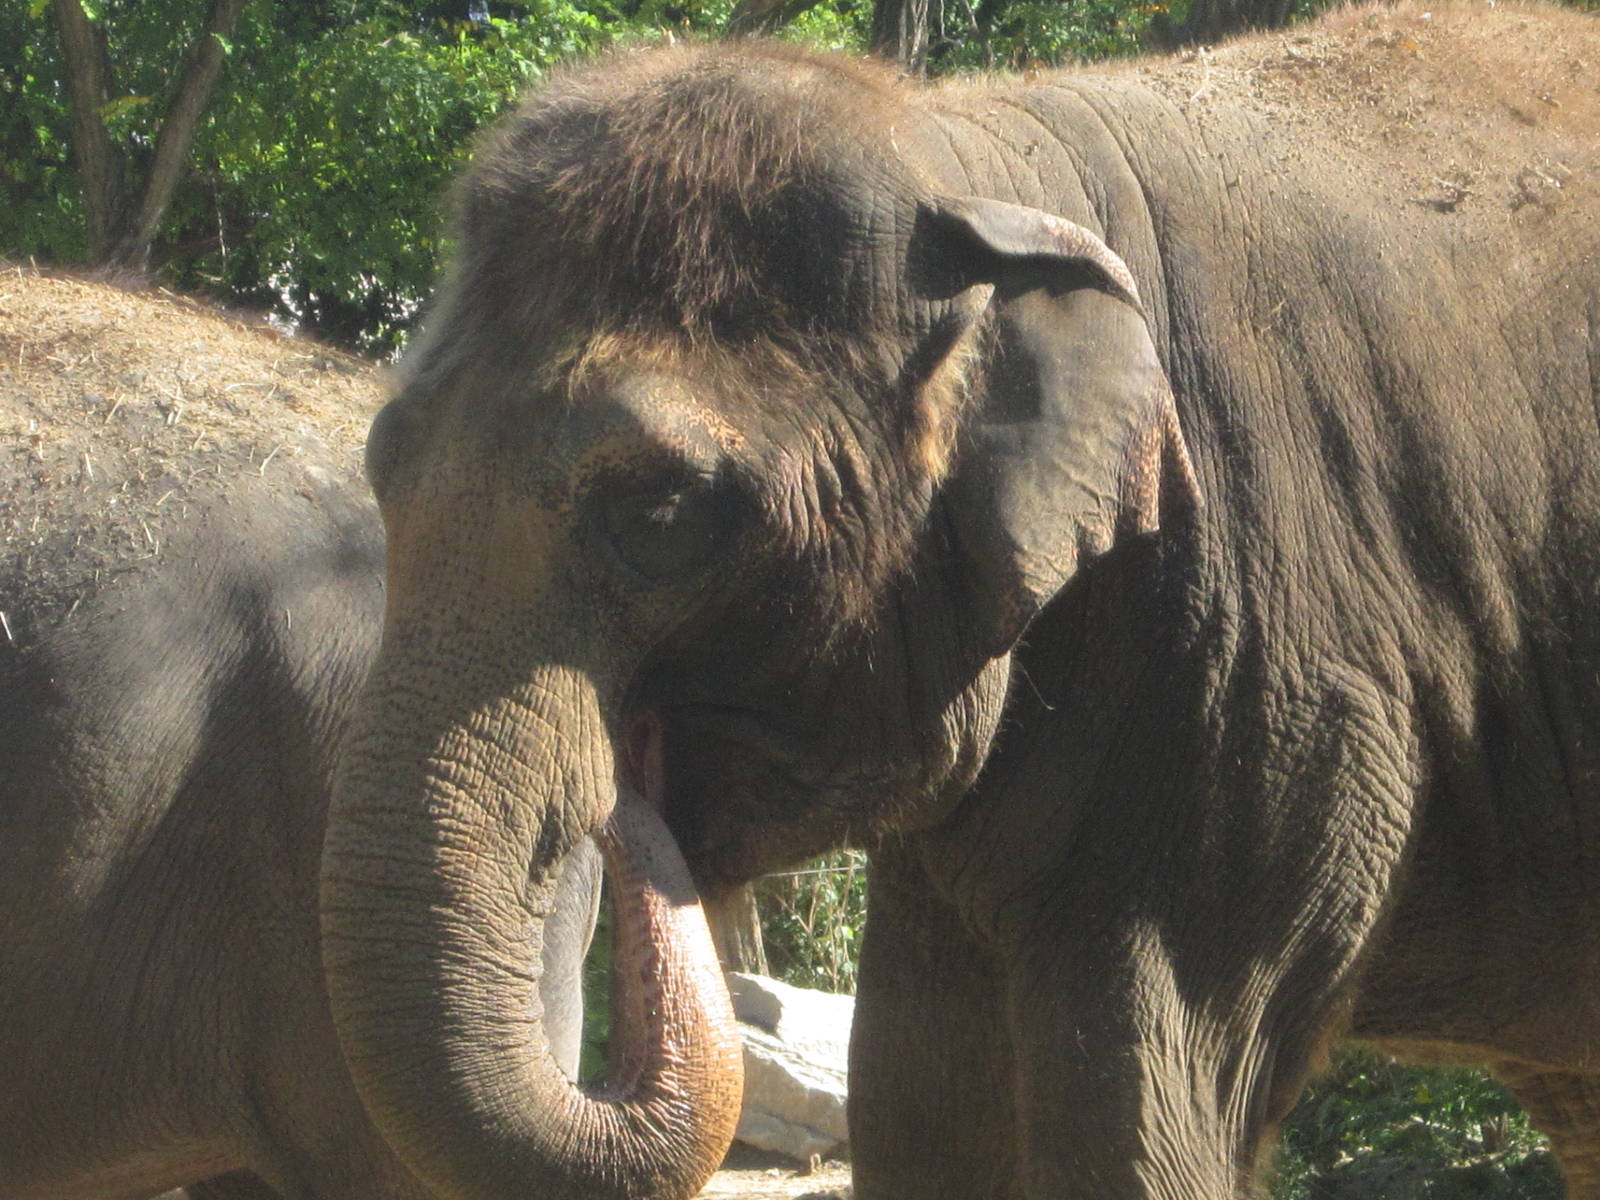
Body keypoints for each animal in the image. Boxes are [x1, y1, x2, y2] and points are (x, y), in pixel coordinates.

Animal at [319, 3, 1600, 1197]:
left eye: (663, 510)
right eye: (383, 462)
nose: (624, 787)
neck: (976, 160)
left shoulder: (1272, 649)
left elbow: (1131, 1095)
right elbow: (920, 1085)